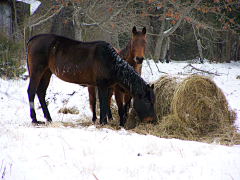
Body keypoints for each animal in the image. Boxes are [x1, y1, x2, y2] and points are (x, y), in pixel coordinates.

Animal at [25, 33, 154, 125]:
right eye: (148, 102)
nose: (150, 121)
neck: (110, 62)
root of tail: (33, 39)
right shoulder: (102, 86)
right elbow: (102, 104)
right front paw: (103, 123)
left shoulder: (107, 87)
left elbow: (105, 104)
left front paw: (104, 121)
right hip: (37, 71)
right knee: (31, 91)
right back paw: (35, 120)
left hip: (47, 72)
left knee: (41, 92)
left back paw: (49, 119)